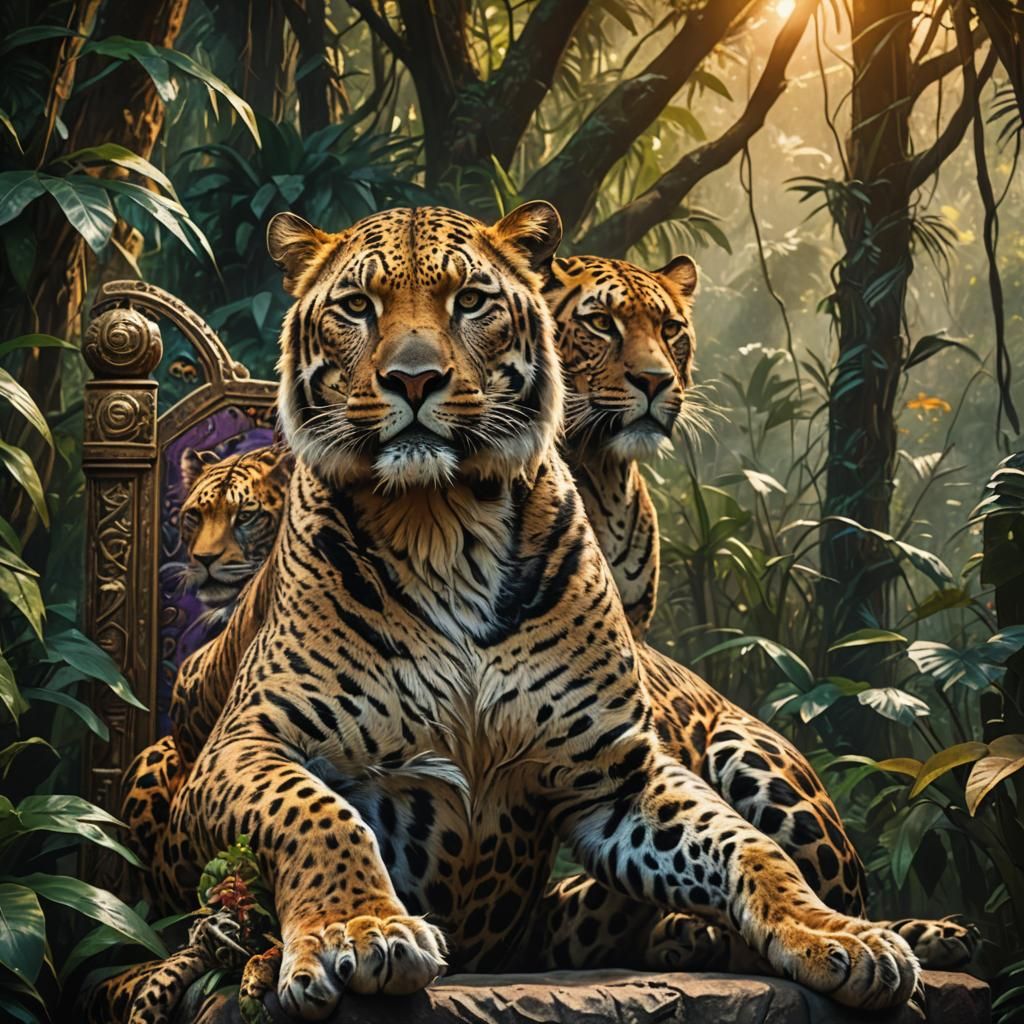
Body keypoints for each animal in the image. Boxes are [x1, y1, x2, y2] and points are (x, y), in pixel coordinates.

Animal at [88, 201, 931, 1024]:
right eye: (357, 307)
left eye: (470, 301)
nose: (415, 380)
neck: (443, 525)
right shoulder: (245, 746)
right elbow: (317, 812)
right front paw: (359, 930)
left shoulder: (617, 770)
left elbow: (747, 846)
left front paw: (834, 936)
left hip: (749, 754)